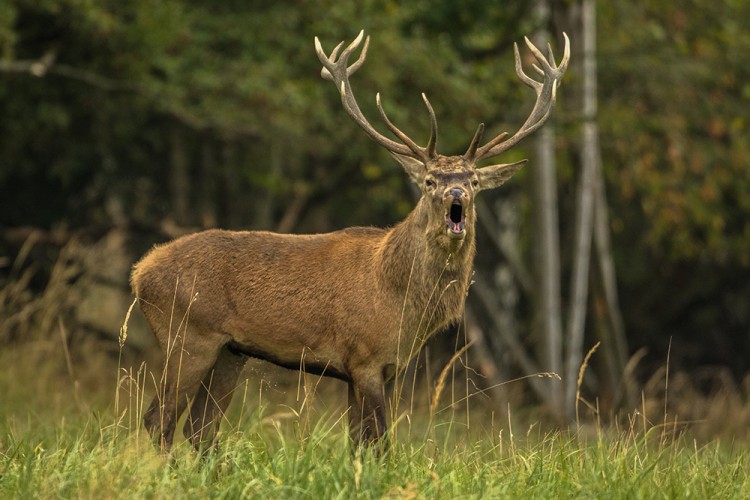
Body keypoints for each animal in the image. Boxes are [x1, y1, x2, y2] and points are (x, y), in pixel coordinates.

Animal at [131, 31, 568, 454]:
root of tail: (139, 273)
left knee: (201, 428)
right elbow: (380, 443)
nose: (455, 194)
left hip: (230, 351)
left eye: (474, 180)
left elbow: (360, 443)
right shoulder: (364, 357)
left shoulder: (382, 368)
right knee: (159, 419)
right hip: (187, 335)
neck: (401, 301)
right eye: (430, 180)